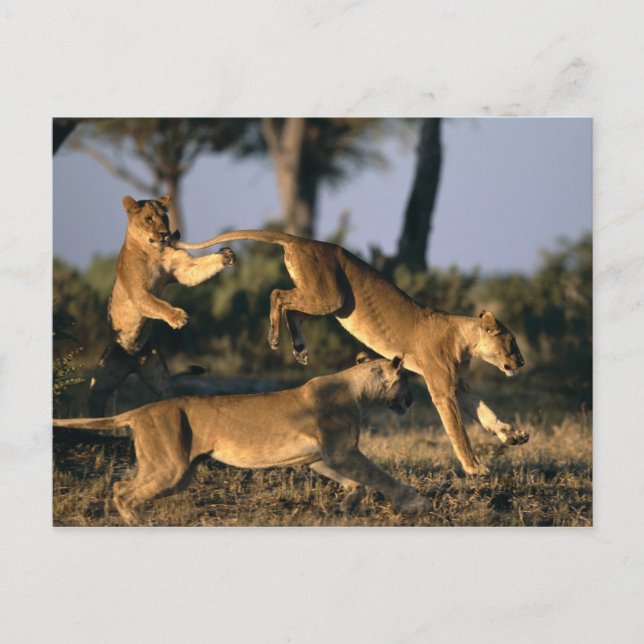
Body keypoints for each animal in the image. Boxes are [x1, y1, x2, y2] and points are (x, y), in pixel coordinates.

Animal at [54, 356, 427, 525]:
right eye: (406, 382)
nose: (411, 401)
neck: (359, 392)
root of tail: (142, 409)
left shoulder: (322, 456)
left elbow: (358, 482)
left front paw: (347, 504)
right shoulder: (341, 451)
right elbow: (379, 476)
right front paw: (413, 502)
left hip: (176, 470)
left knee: (121, 487)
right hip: (171, 467)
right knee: (124, 491)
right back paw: (138, 522)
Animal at [87, 195, 236, 416]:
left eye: (164, 217)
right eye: (148, 219)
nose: (165, 234)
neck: (153, 251)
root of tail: (133, 358)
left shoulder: (184, 269)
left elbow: (199, 270)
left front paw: (225, 255)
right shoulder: (138, 293)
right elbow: (158, 304)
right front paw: (178, 317)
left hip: (159, 377)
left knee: (166, 394)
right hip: (100, 382)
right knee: (95, 399)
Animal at [177, 230, 528, 475]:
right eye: (511, 344)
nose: (521, 362)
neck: (464, 340)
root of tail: (304, 239)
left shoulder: (460, 385)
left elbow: (486, 413)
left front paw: (513, 436)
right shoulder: (443, 388)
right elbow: (458, 431)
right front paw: (475, 468)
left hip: (333, 300)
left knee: (294, 311)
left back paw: (300, 348)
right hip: (331, 295)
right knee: (277, 294)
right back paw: (275, 337)